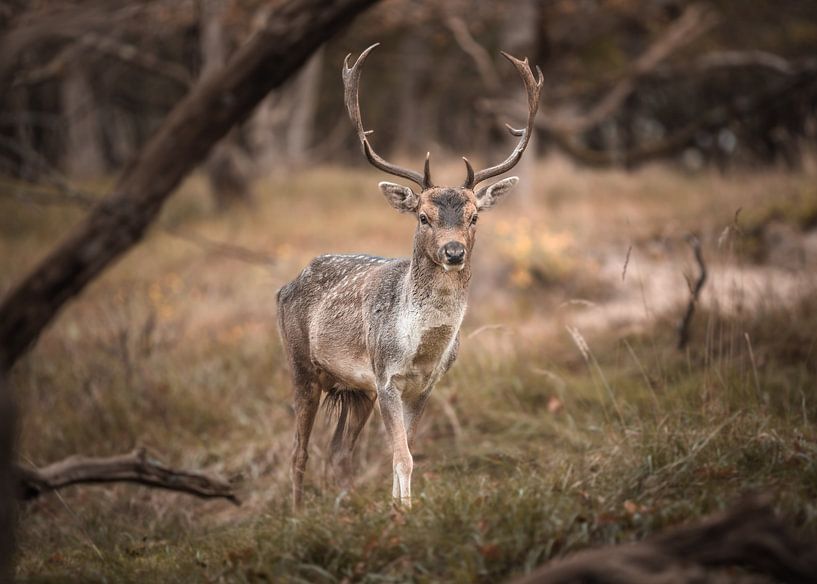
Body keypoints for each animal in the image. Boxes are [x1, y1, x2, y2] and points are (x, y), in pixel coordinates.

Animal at [278, 41, 540, 508]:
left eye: (474, 217)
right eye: (423, 216)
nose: (453, 252)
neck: (420, 350)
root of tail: (283, 288)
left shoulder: (424, 385)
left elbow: (405, 452)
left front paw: (398, 511)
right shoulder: (386, 376)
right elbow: (402, 456)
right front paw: (405, 510)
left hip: (355, 388)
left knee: (339, 450)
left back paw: (345, 509)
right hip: (301, 365)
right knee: (299, 450)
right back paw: (295, 513)